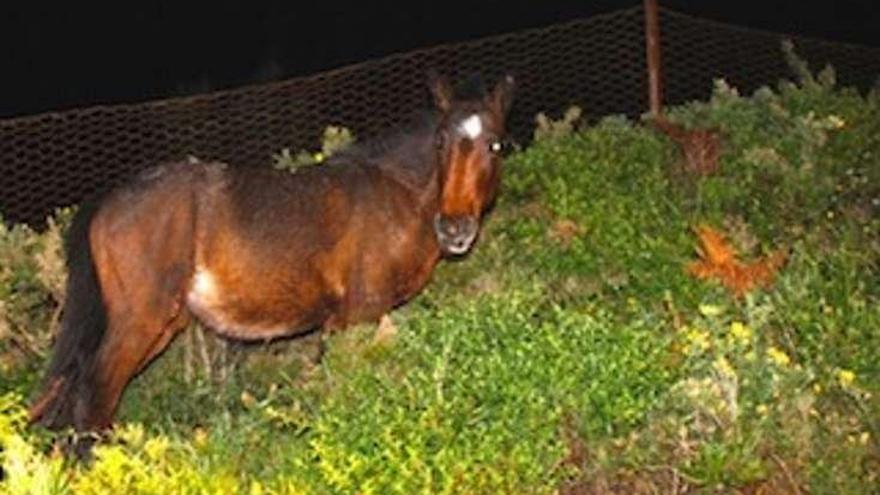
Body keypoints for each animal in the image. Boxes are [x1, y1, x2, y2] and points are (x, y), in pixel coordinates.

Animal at [27, 72, 516, 438]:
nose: (453, 228)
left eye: (493, 144)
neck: (395, 193)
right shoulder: (360, 313)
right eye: (440, 143)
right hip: (137, 322)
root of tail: (108, 197)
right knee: (95, 396)